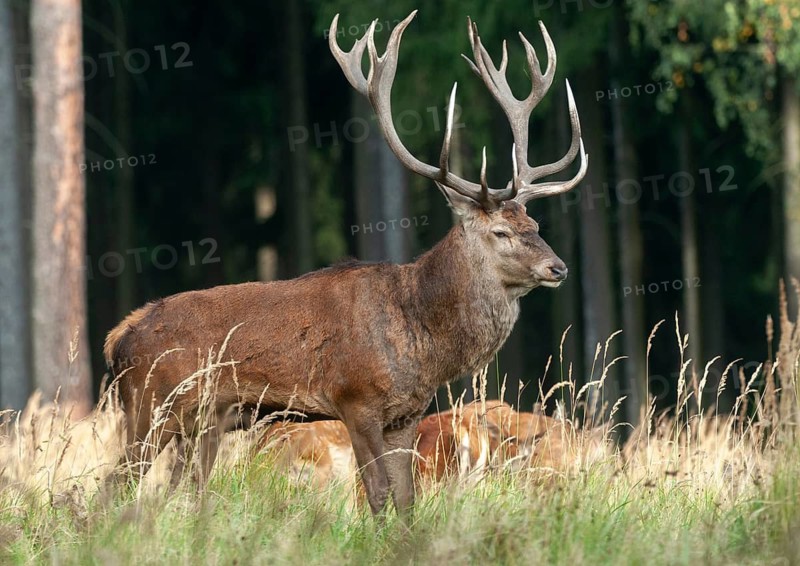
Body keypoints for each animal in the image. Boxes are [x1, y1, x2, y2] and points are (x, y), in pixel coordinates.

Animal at [103, 10, 587, 516]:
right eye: (501, 233)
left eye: (534, 222)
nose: (558, 268)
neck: (421, 337)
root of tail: (118, 337)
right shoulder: (355, 400)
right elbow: (376, 494)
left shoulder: (405, 415)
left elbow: (406, 498)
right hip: (150, 407)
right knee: (111, 485)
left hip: (200, 422)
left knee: (173, 492)